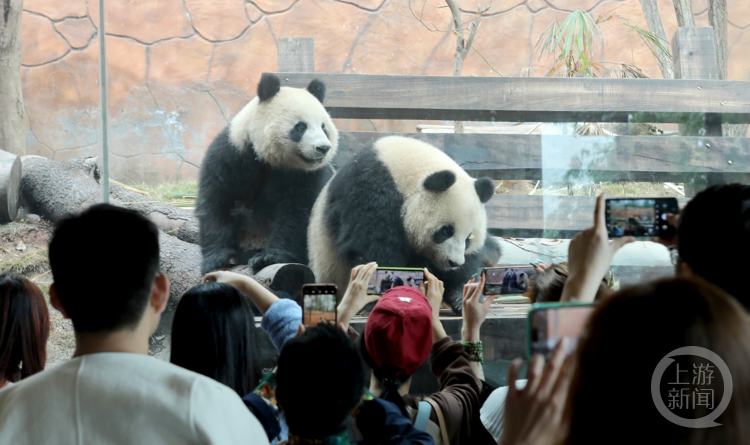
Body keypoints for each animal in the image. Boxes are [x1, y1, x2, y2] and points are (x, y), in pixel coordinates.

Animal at [308, 135, 502, 312]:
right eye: (446, 231)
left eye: (469, 237)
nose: (454, 262)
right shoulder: (369, 191)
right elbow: (374, 247)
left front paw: (460, 297)